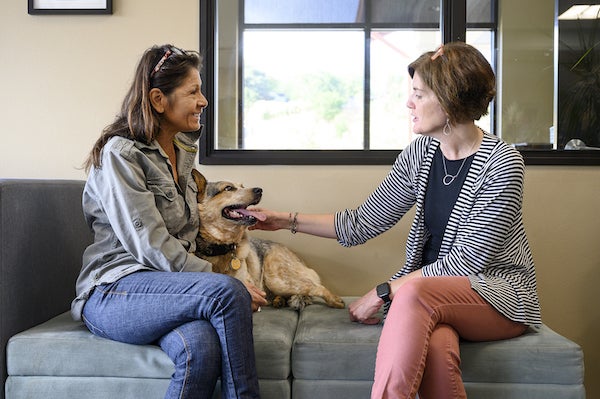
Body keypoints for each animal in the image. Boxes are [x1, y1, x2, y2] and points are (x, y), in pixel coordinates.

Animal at [192, 170, 342, 310]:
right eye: (228, 188)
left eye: (242, 186)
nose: (259, 190)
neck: (221, 248)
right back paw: (279, 301)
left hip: (277, 279)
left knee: (316, 287)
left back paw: (335, 300)